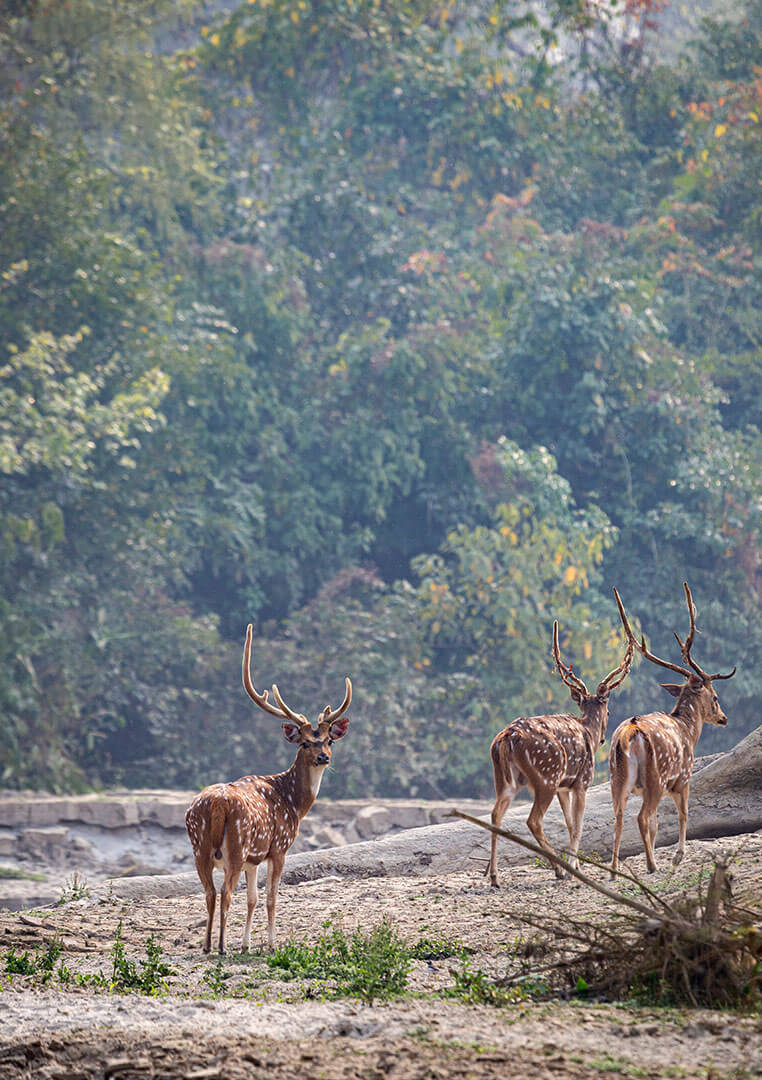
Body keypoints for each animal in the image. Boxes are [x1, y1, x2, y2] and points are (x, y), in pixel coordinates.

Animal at [185, 624, 352, 954]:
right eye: (304, 742)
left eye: (329, 739)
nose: (324, 757)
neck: (294, 803)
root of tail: (217, 805)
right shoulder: (278, 847)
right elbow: (272, 898)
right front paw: (273, 944)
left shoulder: (254, 858)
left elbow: (253, 899)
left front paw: (247, 944)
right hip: (236, 845)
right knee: (225, 892)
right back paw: (221, 946)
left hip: (199, 844)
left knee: (210, 892)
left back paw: (207, 946)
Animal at [487, 622, 633, 887]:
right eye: (609, 711)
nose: (603, 738)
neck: (588, 731)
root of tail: (508, 736)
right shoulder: (582, 781)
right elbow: (578, 825)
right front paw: (575, 868)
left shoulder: (564, 787)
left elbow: (569, 824)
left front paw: (575, 865)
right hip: (546, 775)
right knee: (533, 820)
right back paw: (558, 868)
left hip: (504, 778)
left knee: (495, 815)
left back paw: (494, 877)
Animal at [609, 583, 736, 875]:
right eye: (716, 697)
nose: (724, 718)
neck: (688, 731)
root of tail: (630, 733)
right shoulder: (684, 778)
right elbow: (684, 813)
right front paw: (678, 856)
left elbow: (657, 825)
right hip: (655, 779)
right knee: (641, 817)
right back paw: (652, 865)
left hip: (617, 778)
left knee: (619, 817)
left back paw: (614, 868)